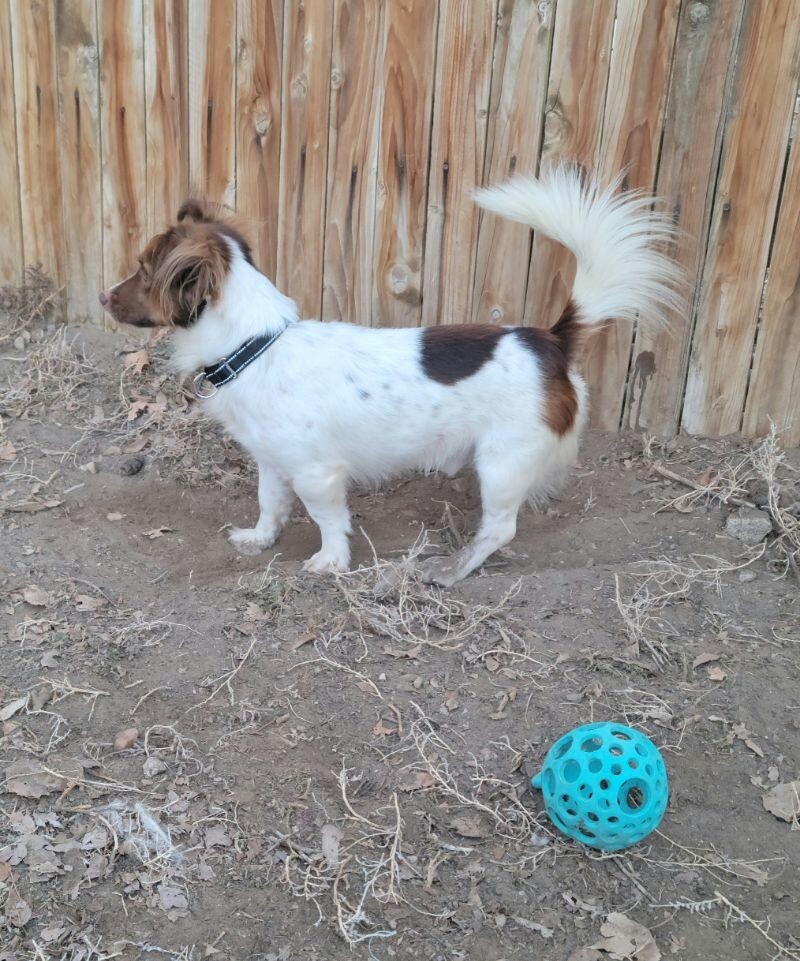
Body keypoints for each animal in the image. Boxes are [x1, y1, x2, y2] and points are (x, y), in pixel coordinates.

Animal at [97, 170, 680, 584]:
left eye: (143, 271)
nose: (102, 296)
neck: (258, 346)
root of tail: (550, 342)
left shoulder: (317, 474)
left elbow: (328, 520)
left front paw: (331, 563)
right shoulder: (272, 461)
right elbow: (269, 505)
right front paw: (261, 540)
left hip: (502, 462)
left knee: (500, 528)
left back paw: (453, 569)